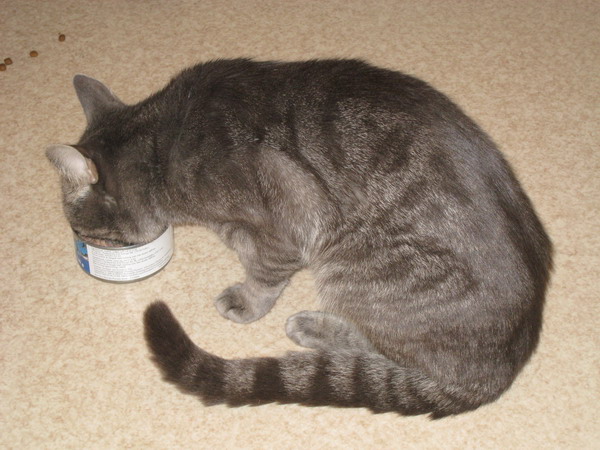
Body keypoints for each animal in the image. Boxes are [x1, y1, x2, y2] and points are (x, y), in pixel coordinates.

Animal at [46, 58, 552, 418]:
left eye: (78, 230)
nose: (79, 245)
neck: (159, 144)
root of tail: (501, 372)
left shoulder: (288, 218)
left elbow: (264, 274)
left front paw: (248, 300)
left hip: (354, 269)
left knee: (382, 348)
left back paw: (315, 326)